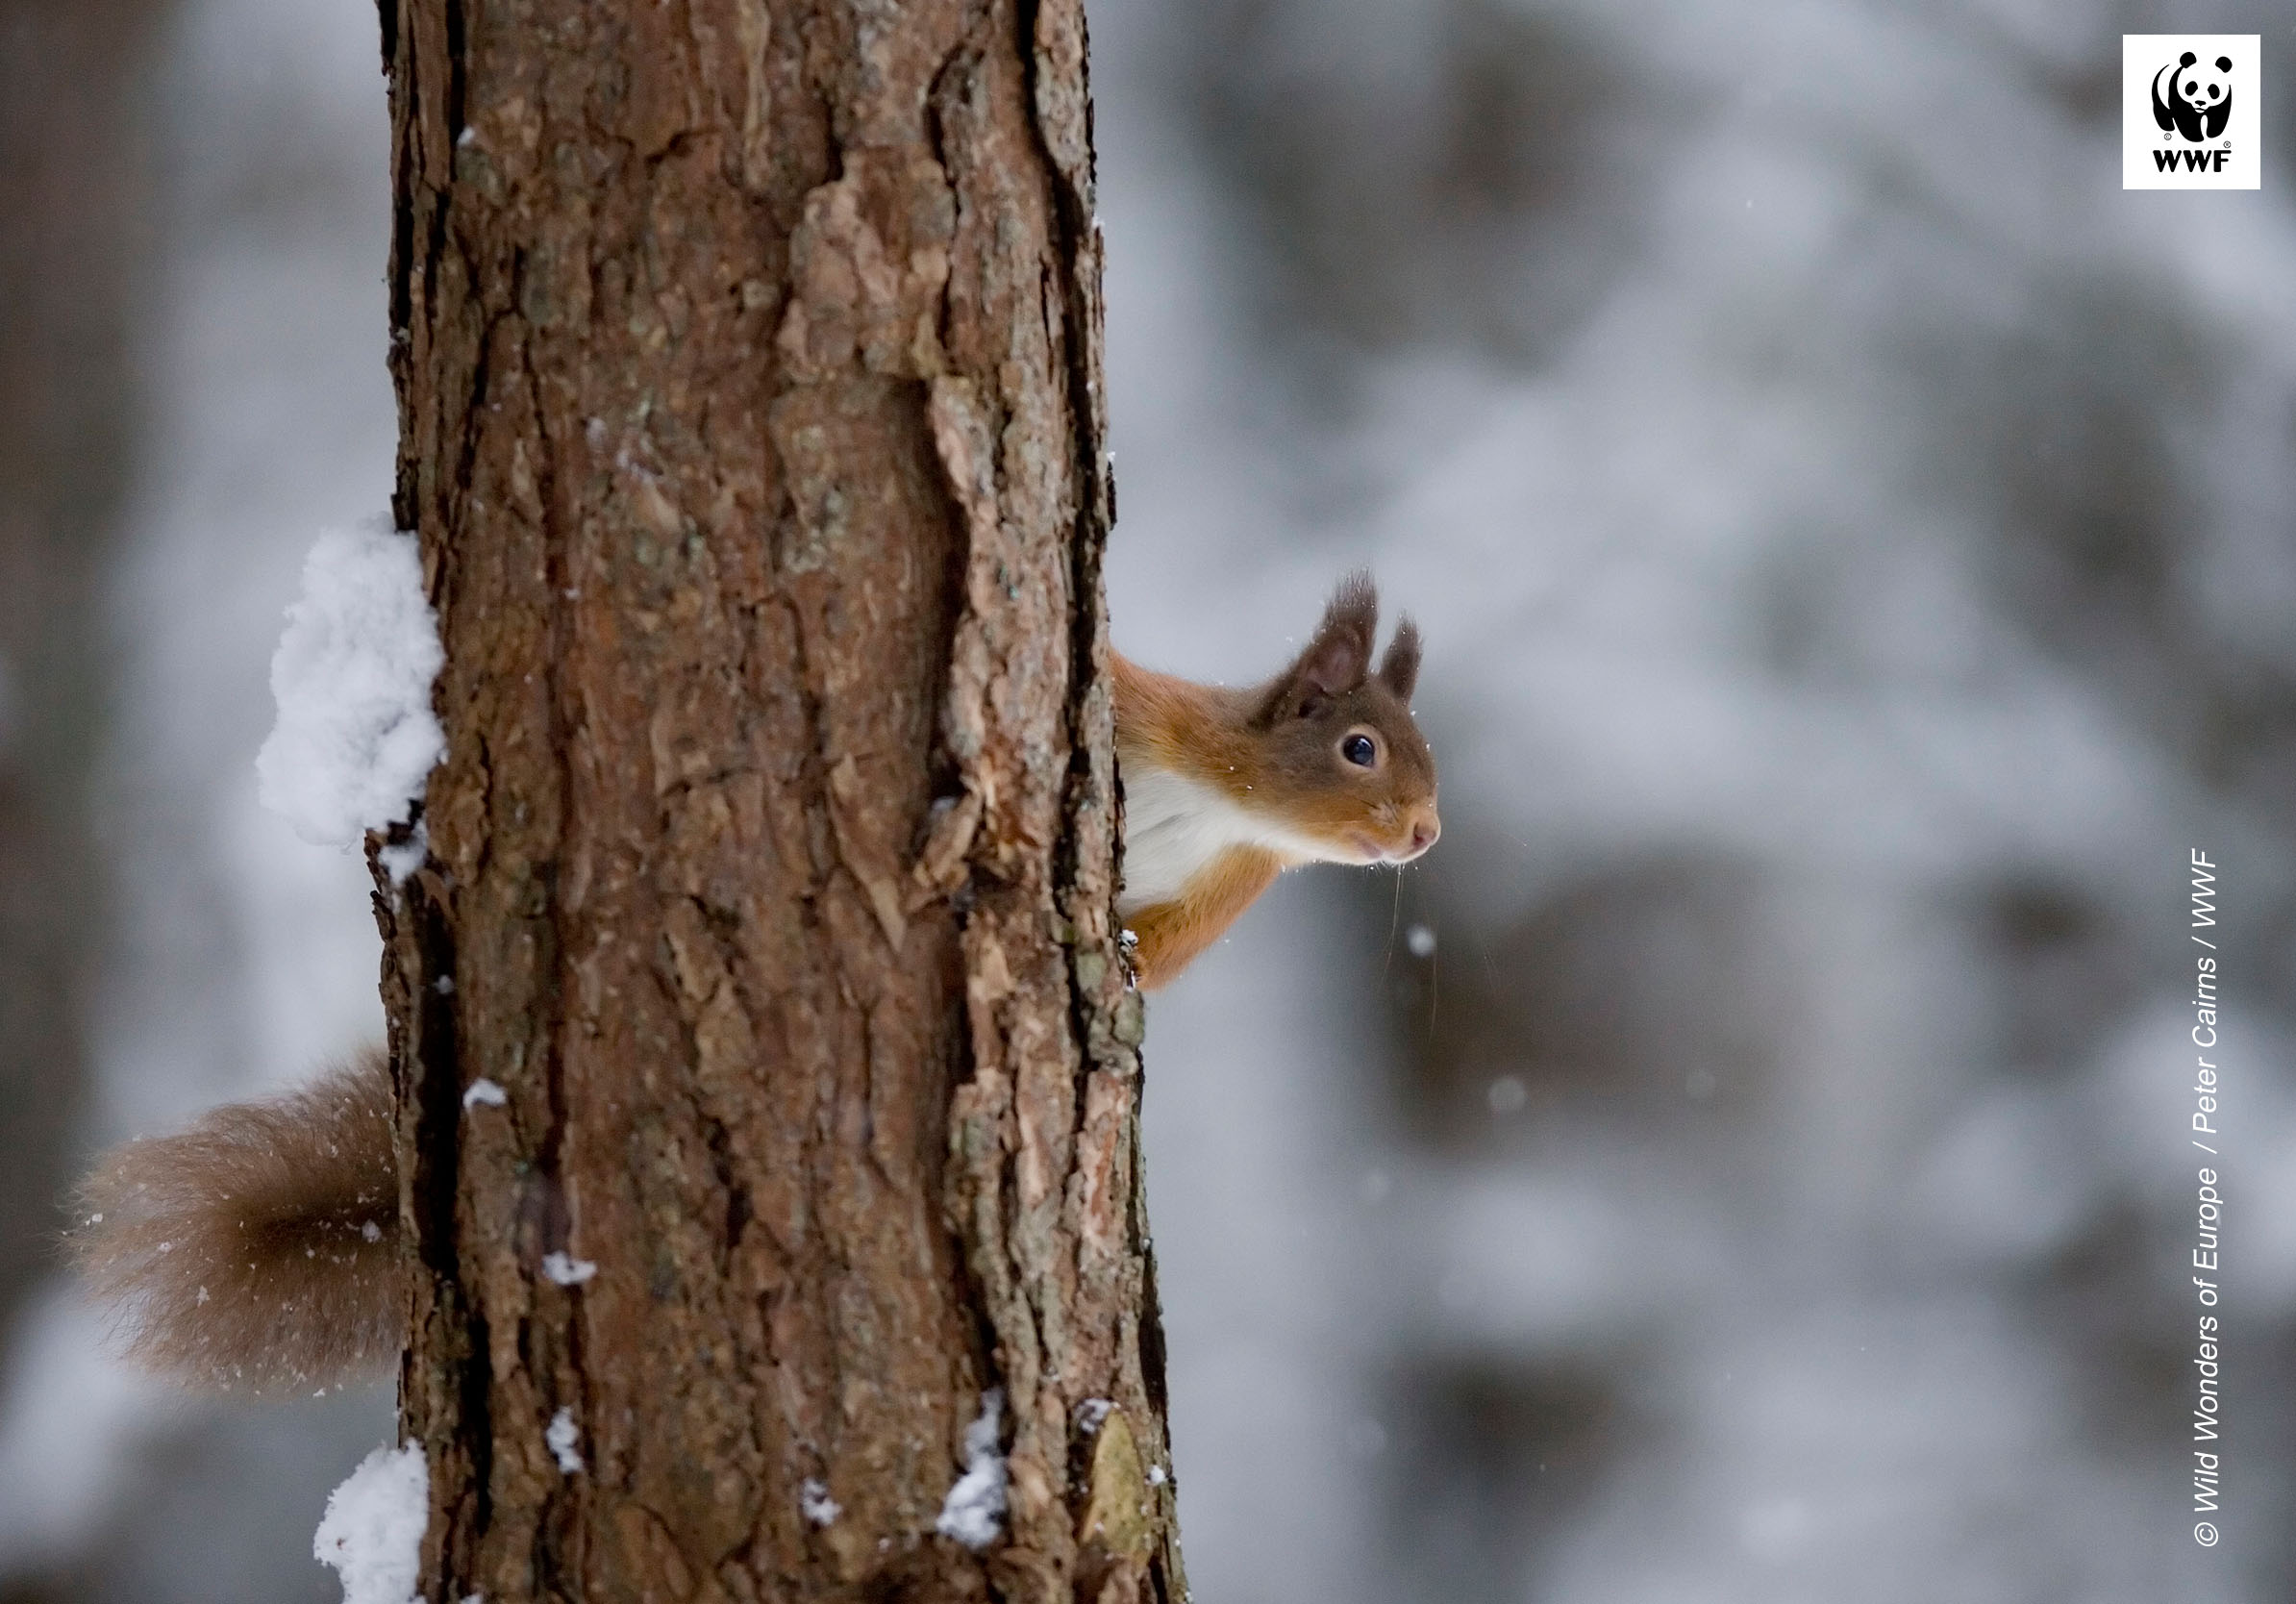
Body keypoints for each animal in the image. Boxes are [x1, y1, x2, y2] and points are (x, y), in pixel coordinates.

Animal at [71, 573, 1436, 1389]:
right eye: (1361, 745)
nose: (1426, 833)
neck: (1223, 806)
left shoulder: (1215, 902)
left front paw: (1133, 974)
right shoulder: (1152, 722)